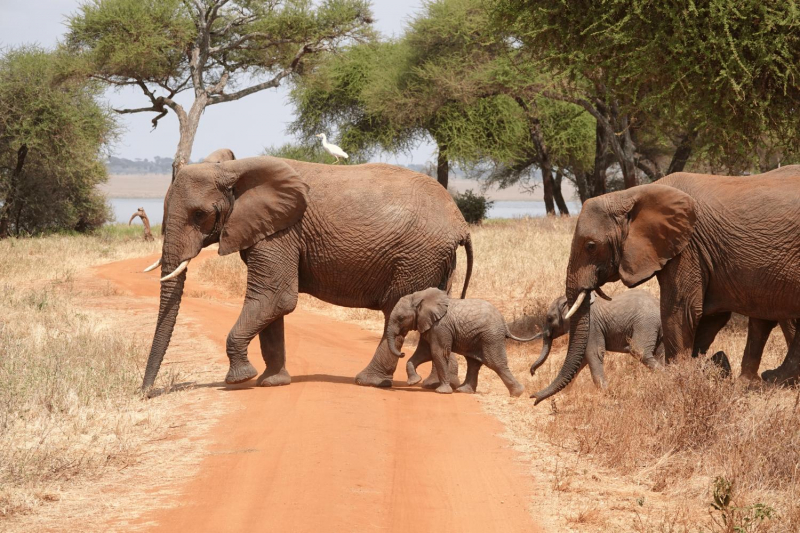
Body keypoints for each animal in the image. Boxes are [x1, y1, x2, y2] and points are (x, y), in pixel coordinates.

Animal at [141, 150, 472, 390]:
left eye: (199, 215)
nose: (146, 392)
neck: (234, 168)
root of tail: (460, 223)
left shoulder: (282, 230)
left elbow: (276, 298)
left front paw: (241, 379)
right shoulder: (270, 228)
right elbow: (272, 304)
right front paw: (272, 382)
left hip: (416, 255)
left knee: (396, 312)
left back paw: (370, 382)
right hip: (434, 259)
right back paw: (439, 384)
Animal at [386, 286, 536, 394]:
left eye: (400, 318)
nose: (402, 353)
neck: (419, 297)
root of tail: (504, 324)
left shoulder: (440, 326)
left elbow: (437, 353)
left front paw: (442, 392)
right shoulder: (428, 325)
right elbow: (424, 353)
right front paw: (414, 382)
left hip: (491, 336)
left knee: (495, 362)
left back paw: (517, 393)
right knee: (473, 363)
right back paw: (464, 391)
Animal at [532, 286, 664, 386]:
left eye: (549, 318)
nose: (532, 372)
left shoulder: (591, 325)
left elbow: (594, 353)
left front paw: (605, 391)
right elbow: (582, 359)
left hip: (646, 323)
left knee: (639, 350)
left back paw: (665, 375)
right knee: (659, 352)